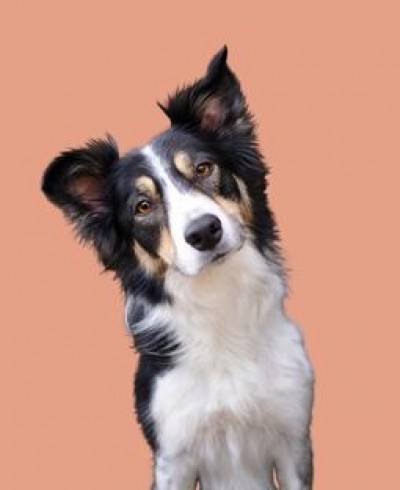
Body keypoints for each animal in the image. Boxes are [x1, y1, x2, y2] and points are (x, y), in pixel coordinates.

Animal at [42, 47, 314, 490]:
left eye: (203, 169)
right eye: (143, 207)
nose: (204, 232)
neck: (220, 300)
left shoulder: (294, 440)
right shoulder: (174, 454)